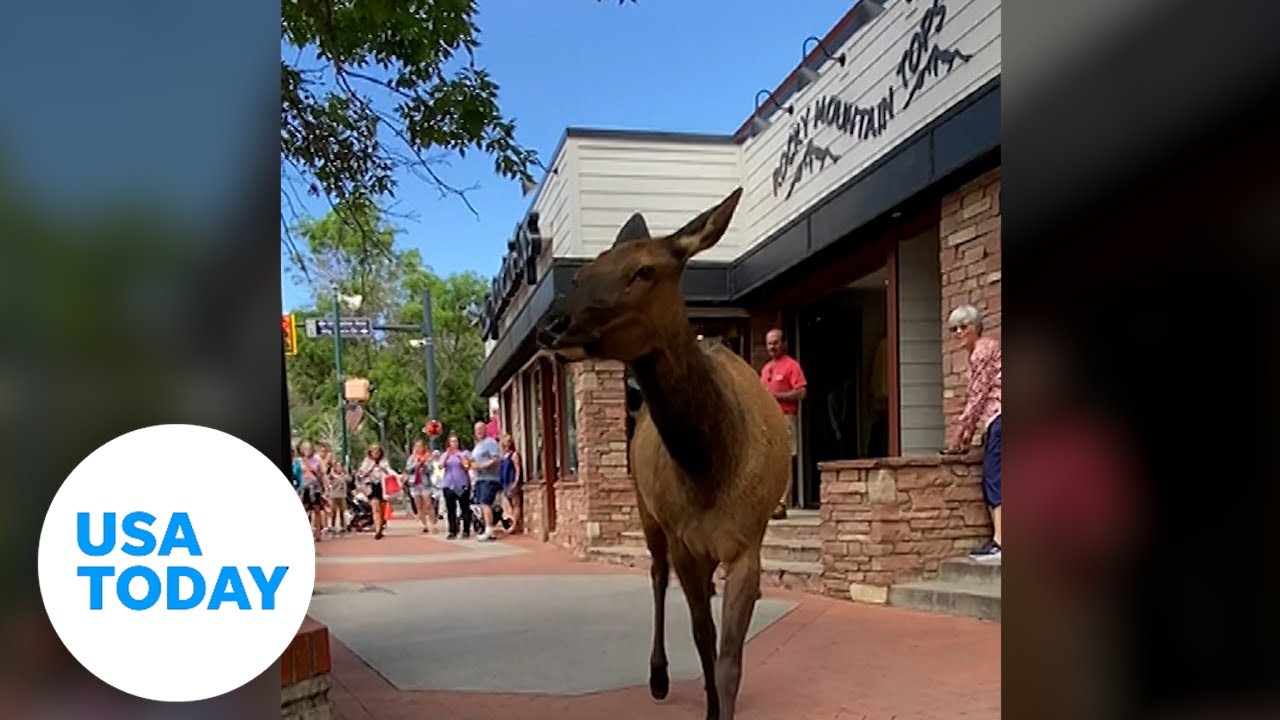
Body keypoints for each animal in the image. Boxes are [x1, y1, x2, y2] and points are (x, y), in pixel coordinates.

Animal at [536, 188, 790, 720]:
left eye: (644, 271)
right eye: (582, 274)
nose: (552, 325)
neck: (710, 470)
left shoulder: (747, 543)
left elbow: (729, 658)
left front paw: (722, 703)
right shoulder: (684, 541)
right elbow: (702, 637)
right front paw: (709, 705)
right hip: (648, 511)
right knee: (655, 576)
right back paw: (657, 676)